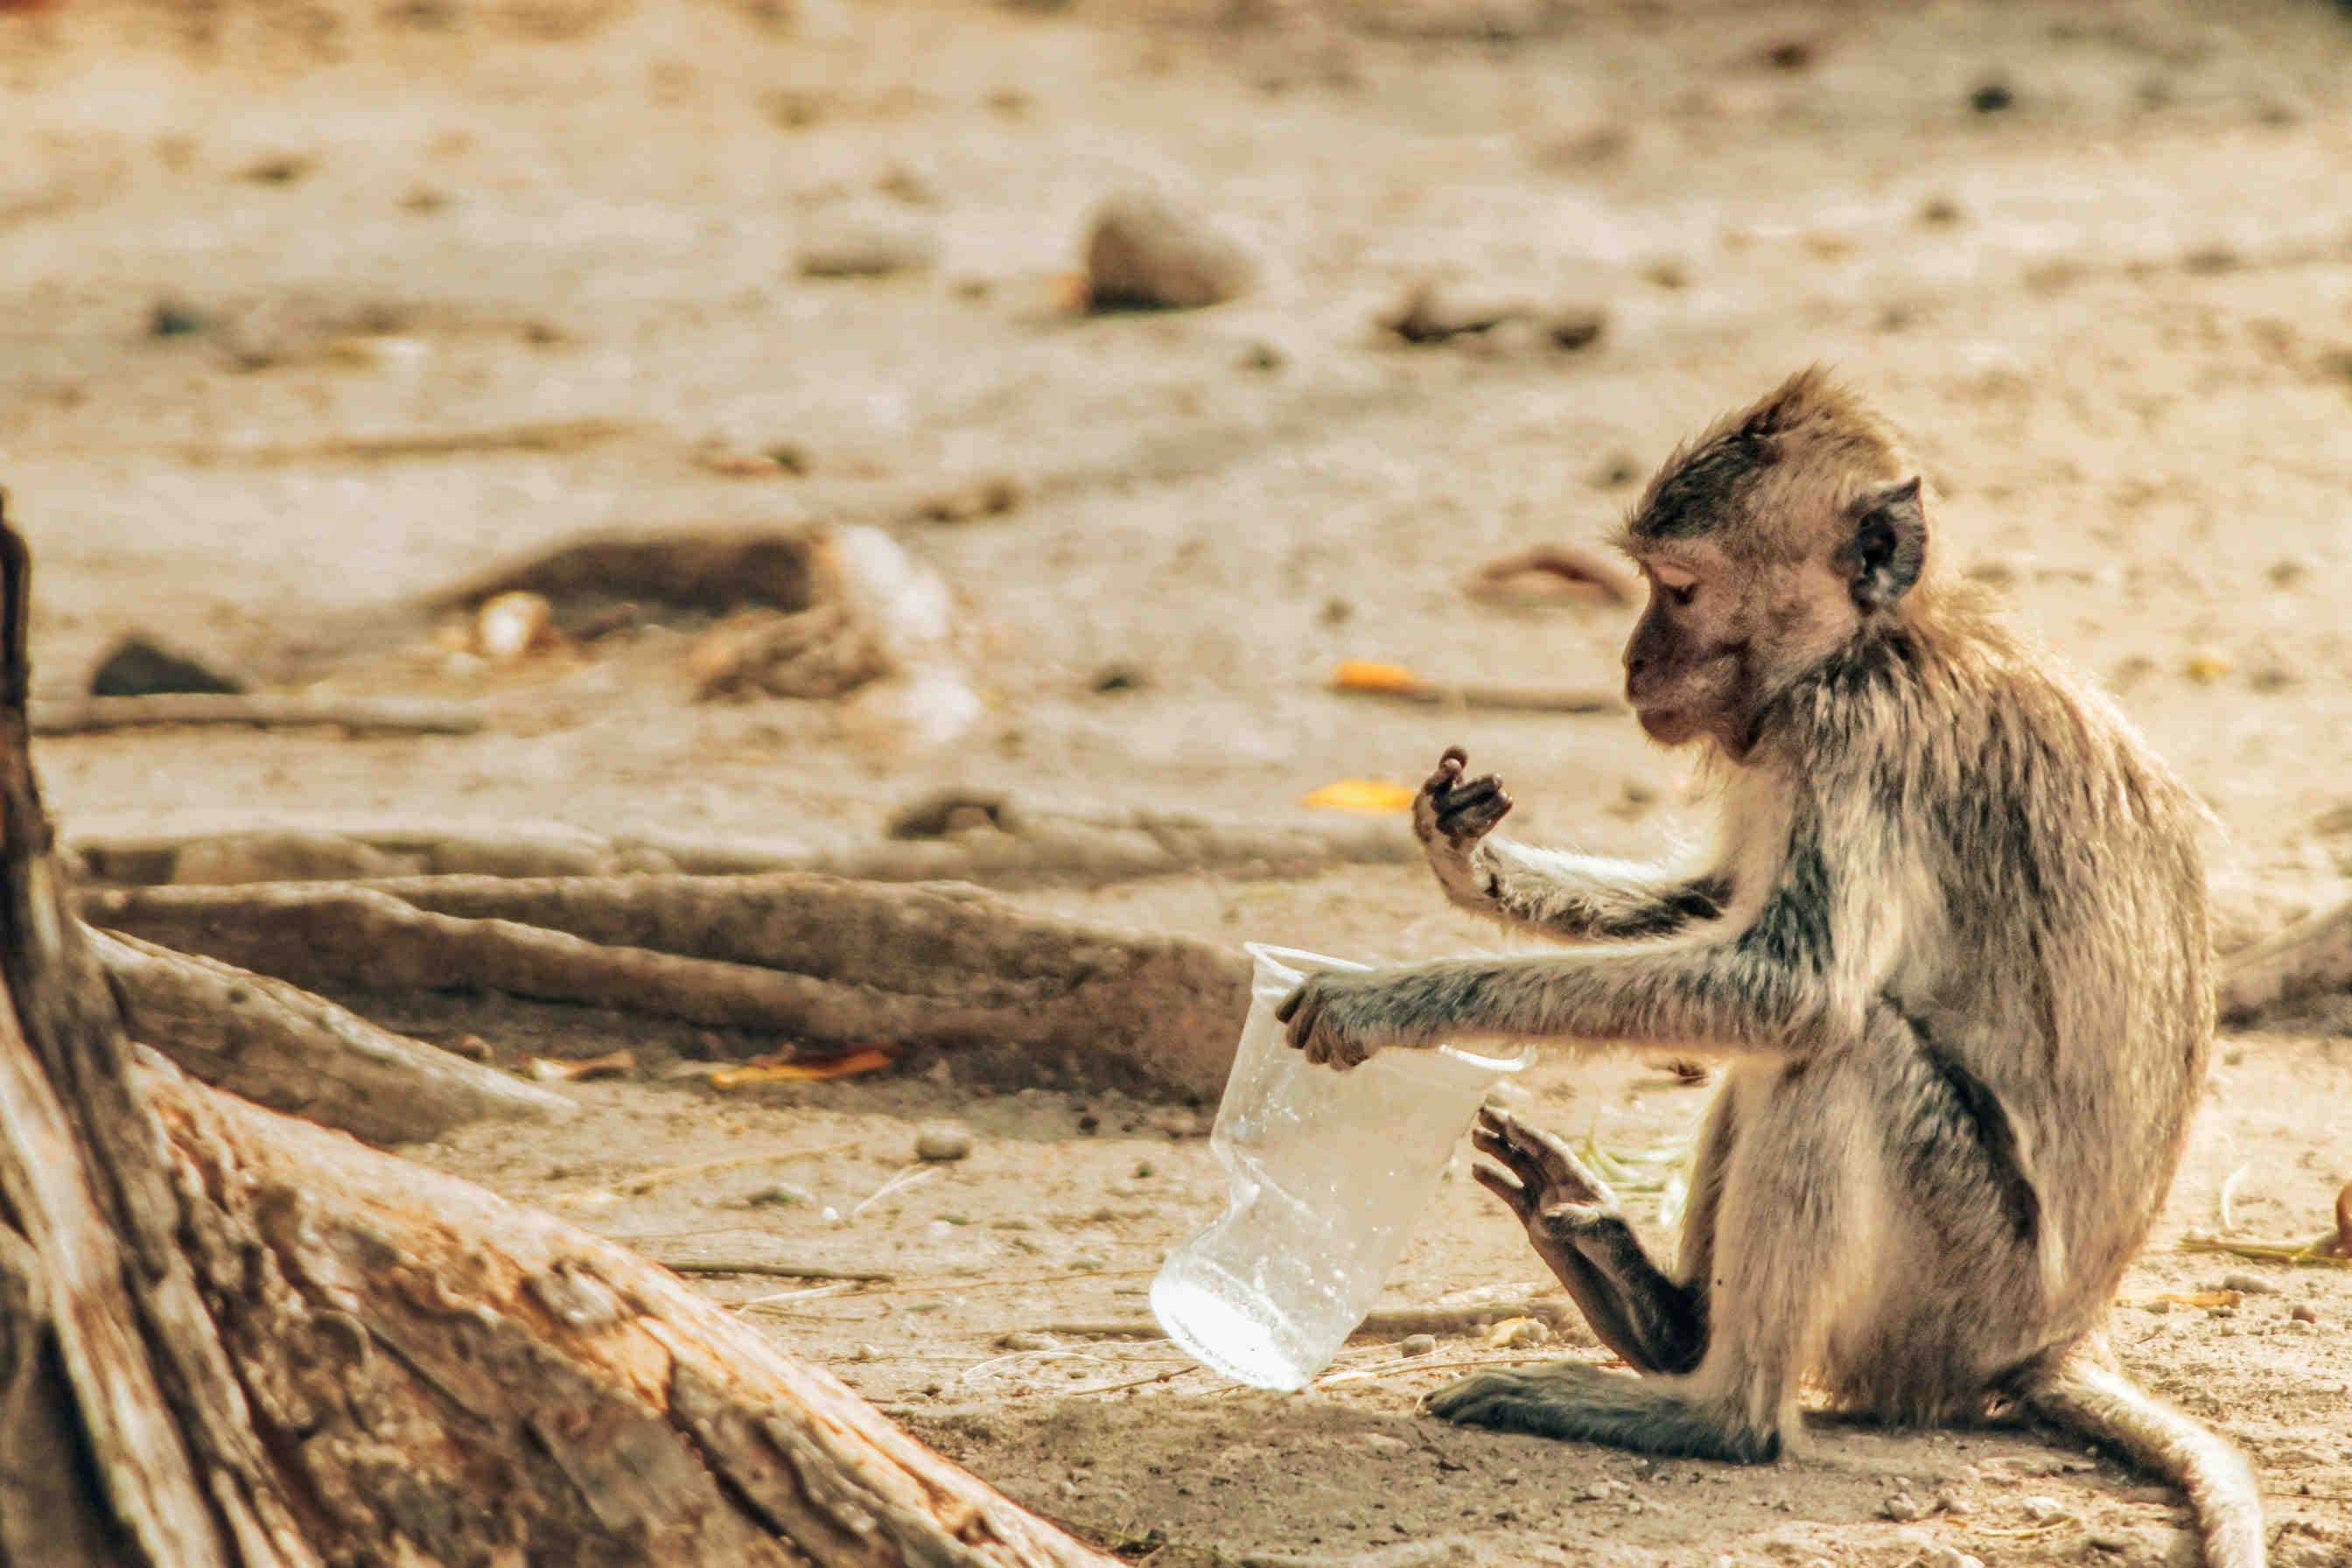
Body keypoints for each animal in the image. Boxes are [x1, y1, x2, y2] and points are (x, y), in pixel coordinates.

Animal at [1276, 368, 2263, 1567]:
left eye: (1681, 591)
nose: (1632, 663)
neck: (1876, 640)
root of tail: (2054, 1342)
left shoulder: (1854, 735)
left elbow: (1797, 990)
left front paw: (1396, 998)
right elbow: (1721, 911)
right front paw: (1476, 866)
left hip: (1953, 1299)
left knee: (1840, 1051)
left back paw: (1719, 1414)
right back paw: (1656, 1313)